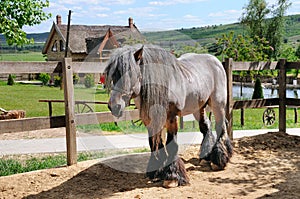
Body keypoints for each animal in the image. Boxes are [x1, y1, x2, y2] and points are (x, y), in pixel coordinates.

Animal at [104, 44, 233, 188]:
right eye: (113, 76)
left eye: (130, 74)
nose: (114, 106)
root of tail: (217, 61)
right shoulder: (150, 120)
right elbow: (155, 143)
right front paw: (157, 171)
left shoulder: (171, 117)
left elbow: (171, 143)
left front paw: (172, 177)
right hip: (198, 107)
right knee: (206, 126)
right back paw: (206, 157)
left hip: (218, 103)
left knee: (220, 126)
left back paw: (219, 160)